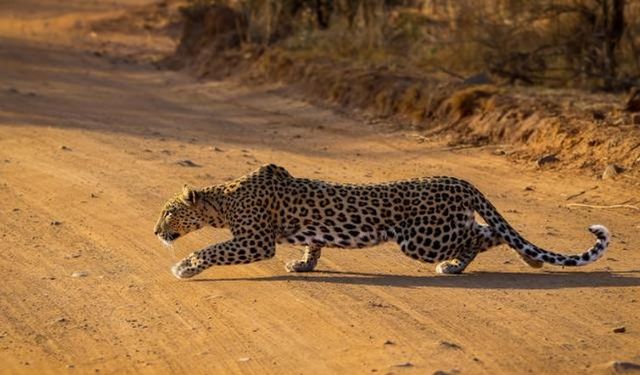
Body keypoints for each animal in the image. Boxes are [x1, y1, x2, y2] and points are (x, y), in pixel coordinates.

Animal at [154, 164, 608, 280]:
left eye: (167, 212)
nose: (156, 231)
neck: (222, 200)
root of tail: (459, 180)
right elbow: (314, 244)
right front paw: (304, 264)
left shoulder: (255, 240)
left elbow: (212, 248)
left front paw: (184, 267)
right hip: (435, 231)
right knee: (487, 231)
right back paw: (527, 260)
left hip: (422, 239)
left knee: (482, 234)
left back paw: (459, 265)